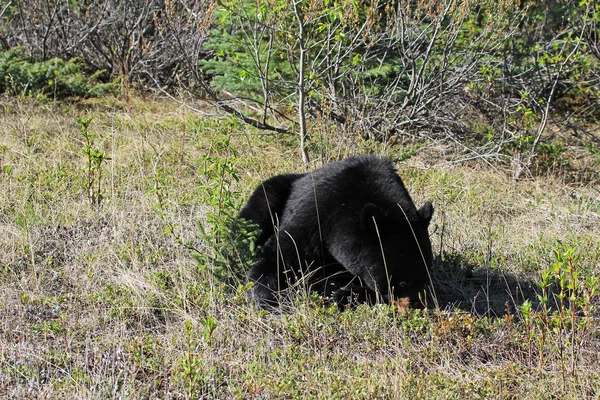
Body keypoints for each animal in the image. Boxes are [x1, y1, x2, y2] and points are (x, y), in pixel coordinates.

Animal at [237, 155, 434, 310]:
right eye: (402, 282)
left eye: (425, 279)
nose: (416, 305)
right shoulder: (314, 216)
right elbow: (280, 254)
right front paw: (265, 295)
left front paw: (342, 294)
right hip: (275, 191)